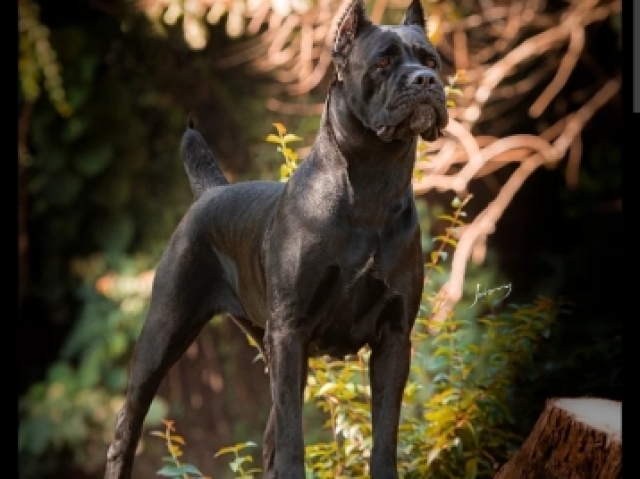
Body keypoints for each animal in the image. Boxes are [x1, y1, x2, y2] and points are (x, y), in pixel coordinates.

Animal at [104, 1, 444, 478]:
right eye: (382, 62)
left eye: (432, 60)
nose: (426, 80)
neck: (373, 184)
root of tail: (209, 193)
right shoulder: (290, 331)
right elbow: (291, 439)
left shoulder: (393, 336)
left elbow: (384, 433)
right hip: (164, 332)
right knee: (128, 422)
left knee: (269, 433)